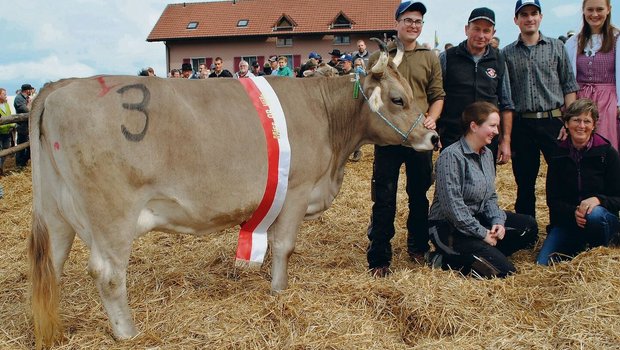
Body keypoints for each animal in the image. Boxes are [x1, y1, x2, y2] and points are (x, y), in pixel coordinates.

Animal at [27, 39, 436, 348]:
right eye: (398, 99)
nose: (432, 137)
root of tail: (60, 86)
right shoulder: (297, 190)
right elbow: (284, 246)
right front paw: (279, 292)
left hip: (56, 212)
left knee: (52, 265)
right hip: (111, 214)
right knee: (108, 273)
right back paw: (128, 333)